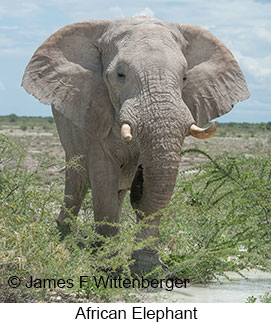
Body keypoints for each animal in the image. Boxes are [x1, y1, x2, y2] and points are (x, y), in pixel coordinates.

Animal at [21, 16, 251, 272]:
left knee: (117, 192)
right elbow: (103, 177)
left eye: (184, 78)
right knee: (77, 182)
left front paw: (146, 267)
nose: (140, 177)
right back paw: (64, 237)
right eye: (120, 75)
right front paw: (108, 266)